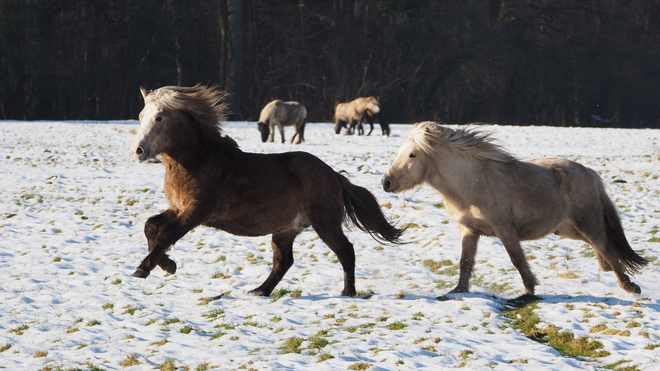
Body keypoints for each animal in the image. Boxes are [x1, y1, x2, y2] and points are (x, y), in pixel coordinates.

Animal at [129, 85, 402, 298]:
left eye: (159, 118)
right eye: (141, 115)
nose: (138, 151)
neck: (197, 161)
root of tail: (333, 174)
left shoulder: (197, 212)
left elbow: (167, 234)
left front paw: (144, 268)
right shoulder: (178, 207)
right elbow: (151, 227)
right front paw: (167, 264)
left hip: (325, 223)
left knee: (345, 251)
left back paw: (347, 292)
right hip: (285, 230)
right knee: (284, 262)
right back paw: (260, 290)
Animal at [384, 123, 648, 300]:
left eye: (412, 155)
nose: (386, 182)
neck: (472, 183)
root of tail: (590, 174)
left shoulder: (505, 230)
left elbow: (517, 259)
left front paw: (529, 290)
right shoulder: (469, 230)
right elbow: (465, 262)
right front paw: (458, 290)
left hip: (587, 222)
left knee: (607, 248)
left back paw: (630, 287)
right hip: (569, 229)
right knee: (603, 248)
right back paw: (607, 269)